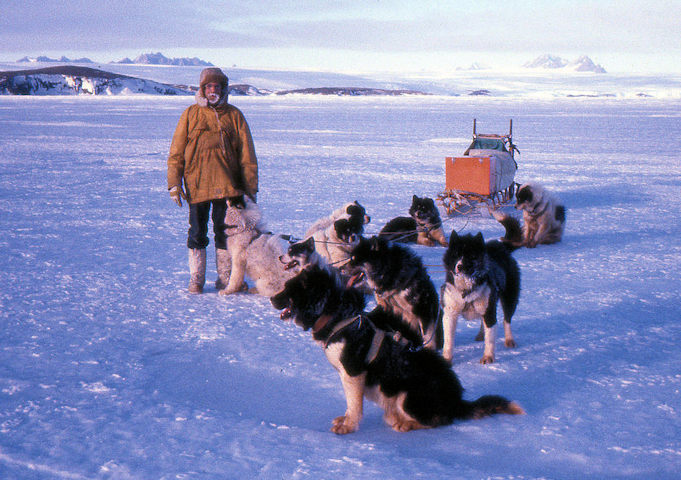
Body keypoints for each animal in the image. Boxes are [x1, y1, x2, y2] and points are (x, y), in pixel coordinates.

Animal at [268, 266, 524, 436]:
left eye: (288, 289)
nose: (270, 298)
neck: (337, 318)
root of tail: (457, 400)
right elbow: (351, 405)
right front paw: (346, 420)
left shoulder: (353, 373)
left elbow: (354, 405)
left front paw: (349, 426)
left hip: (408, 397)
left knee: (439, 420)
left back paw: (406, 423)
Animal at [438, 230, 516, 364]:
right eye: (456, 254)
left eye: (471, 256)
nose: (460, 266)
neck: (466, 289)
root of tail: (501, 249)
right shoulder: (450, 314)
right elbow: (448, 340)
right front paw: (447, 359)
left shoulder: (489, 311)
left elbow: (490, 338)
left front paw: (488, 357)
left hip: (509, 299)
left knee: (507, 320)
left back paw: (509, 339)